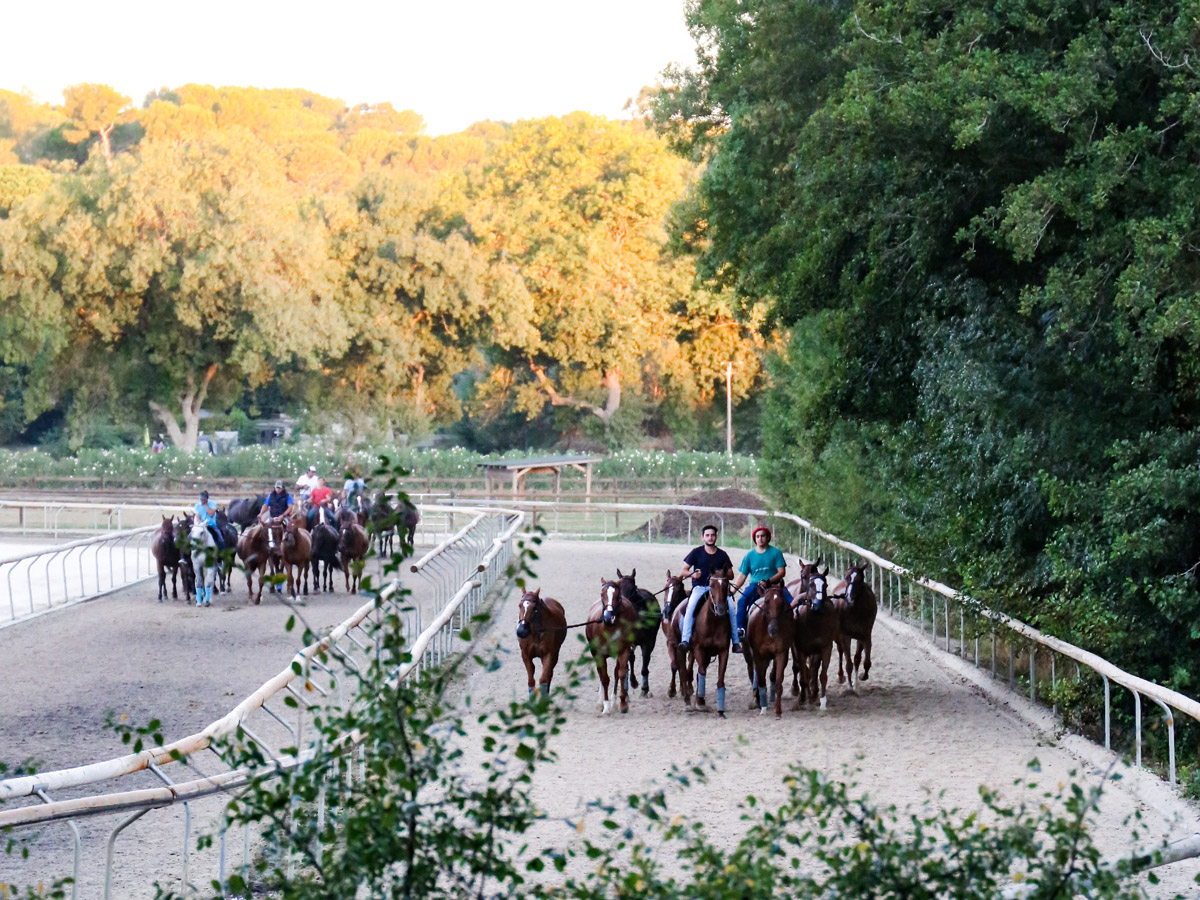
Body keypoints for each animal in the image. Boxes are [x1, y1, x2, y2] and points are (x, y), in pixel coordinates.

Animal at [585, 580, 643, 715]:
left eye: (617, 596)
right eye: (602, 594)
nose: (608, 617)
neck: (610, 628)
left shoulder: (623, 651)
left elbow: (621, 674)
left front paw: (622, 704)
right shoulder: (600, 654)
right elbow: (605, 678)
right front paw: (605, 706)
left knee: (616, 672)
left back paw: (614, 702)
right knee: (600, 674)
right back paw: (601, 703)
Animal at [672, 578, 734, 720]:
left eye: (726, 584)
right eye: (711, 585)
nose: (721, 608)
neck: (713, 622)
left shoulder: (723, 651)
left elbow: (720, 679)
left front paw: (720, 711)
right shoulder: (699, 649)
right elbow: (701, 672)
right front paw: (698, 703)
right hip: (679, 648)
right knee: (683, 672)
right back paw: (688, 703)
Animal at [739, 585, 796, 720]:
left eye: (782, 602)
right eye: (766, 601)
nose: (773, 629)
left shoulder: (781, 653)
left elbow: (778, 680)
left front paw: (778, 711)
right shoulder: (757, 655)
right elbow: (760, 680)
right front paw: (763, 708)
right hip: (749, 653)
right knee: (752, 672)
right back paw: (757, 701)